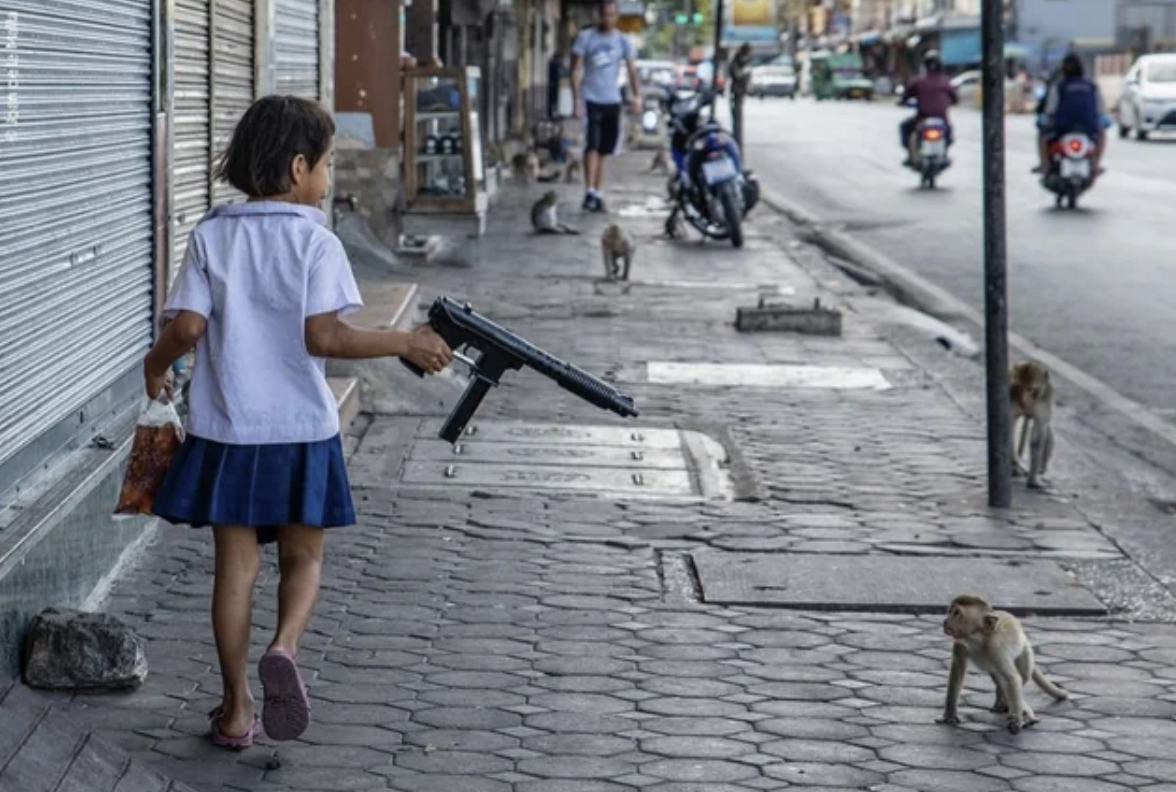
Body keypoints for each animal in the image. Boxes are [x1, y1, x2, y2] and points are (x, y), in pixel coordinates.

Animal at [936, 590, 1067, 734]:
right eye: (950, 611)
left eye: (956, 613)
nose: (946, 620)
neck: (977, 638)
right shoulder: (960, 643)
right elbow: (957, 669)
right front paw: (949, 716)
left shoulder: (996, 648)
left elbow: (1012, 679)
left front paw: (1016, 721)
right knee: (999, 679)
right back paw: (1003, 702)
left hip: (1025, 653)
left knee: (1020, 677)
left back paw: (1019, 710)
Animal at [1011, 357, 1058, 487]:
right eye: (1019, 386)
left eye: (1030, 389)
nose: (1023, 401)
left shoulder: (1044, 403)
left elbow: (1037, 437)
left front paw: (1033, 480)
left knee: (1047, 432)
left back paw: (1042, 467)